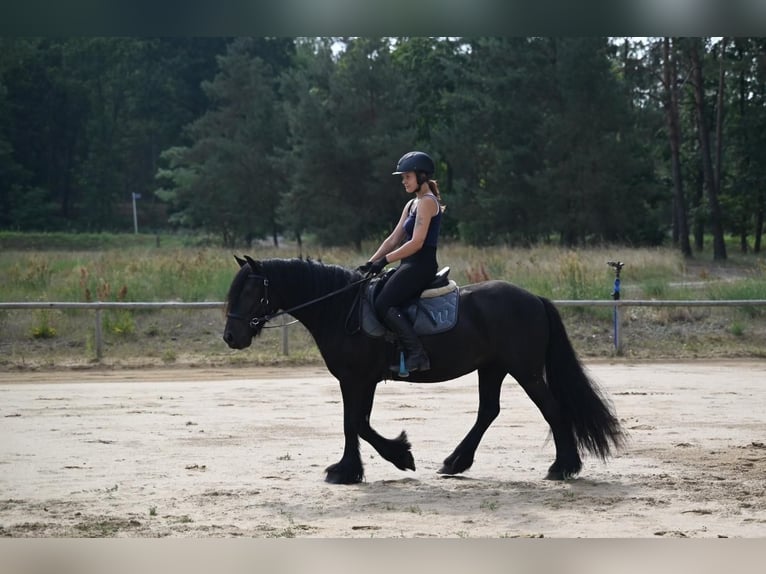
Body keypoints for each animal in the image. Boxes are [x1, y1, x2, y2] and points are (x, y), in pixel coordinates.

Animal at [223, 255, 624, 484]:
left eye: (250, 292)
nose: (231, 336)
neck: (339, 308)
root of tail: (534, 299)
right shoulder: (362, 381)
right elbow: (360, 423)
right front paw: (397, 455)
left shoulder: (356, 378)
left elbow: (353, 424)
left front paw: (352, 469)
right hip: (492, 367)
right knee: (488, 411)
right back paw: (455, 462)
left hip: (523, 369)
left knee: (553, 410)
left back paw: (563, 467)